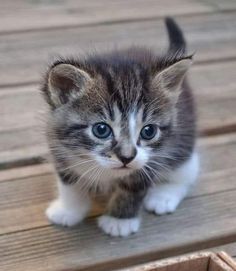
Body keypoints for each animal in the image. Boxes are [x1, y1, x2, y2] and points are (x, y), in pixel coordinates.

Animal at [42, 17, 199, 238]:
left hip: (183, 139)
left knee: (187, 169)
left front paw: (119, 221)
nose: (127, 157)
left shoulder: (149, 159)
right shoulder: (58, 145)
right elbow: (69, 182)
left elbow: (134, 186)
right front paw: (69, 210)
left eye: (148, 131)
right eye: (101, 130)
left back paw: (164, 196)